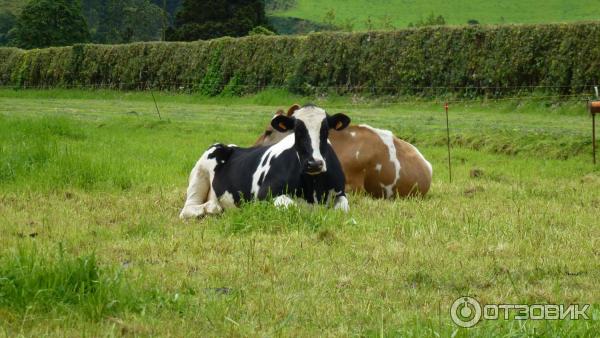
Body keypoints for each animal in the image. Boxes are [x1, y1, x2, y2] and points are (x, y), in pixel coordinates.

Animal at [180, 103, 354, 219]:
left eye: (325, 131)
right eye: (297, 131)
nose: (314, 164)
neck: (314, 187)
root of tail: (230, 146)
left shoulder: (341, 193)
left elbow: (343, 210)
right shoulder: (264, 195)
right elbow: (293, 207)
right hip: (199, 175)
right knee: (188, 209)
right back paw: (212, 207)